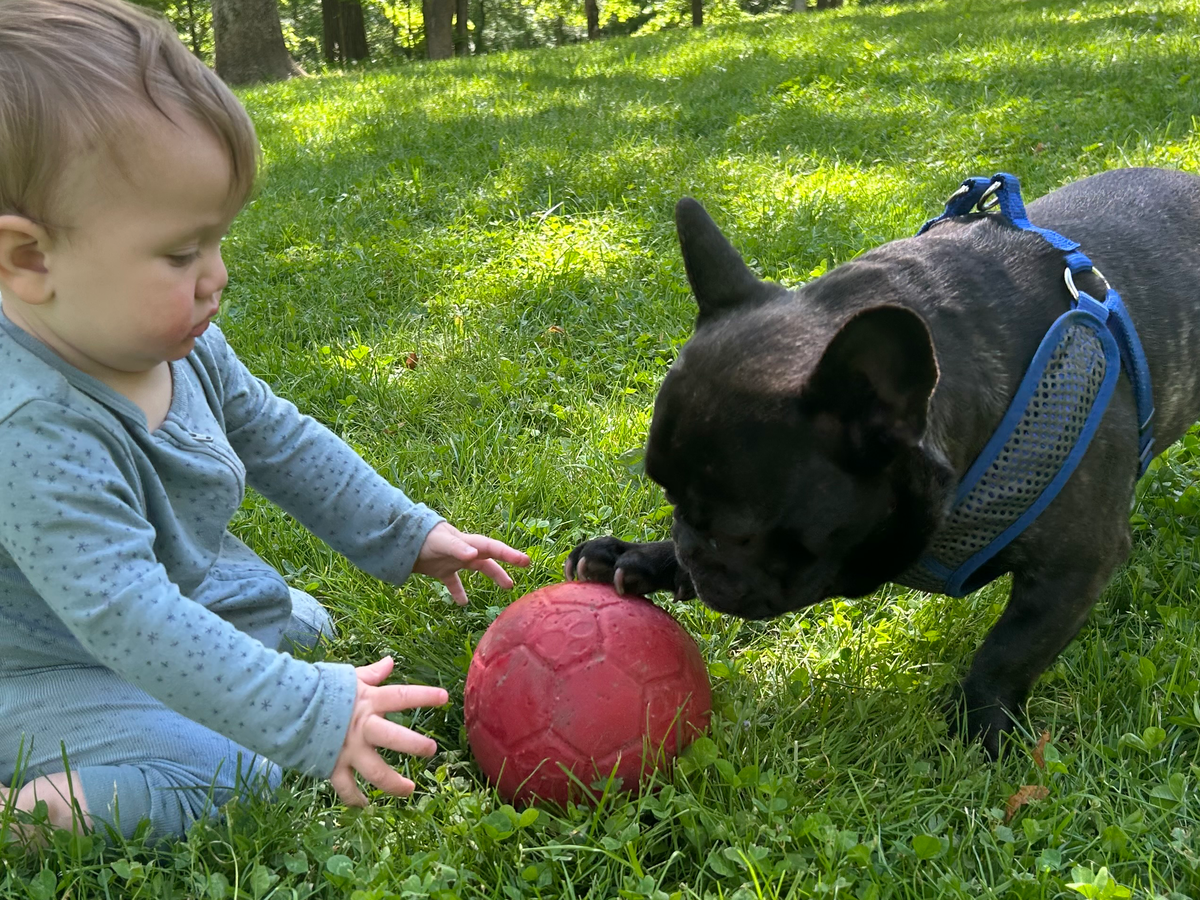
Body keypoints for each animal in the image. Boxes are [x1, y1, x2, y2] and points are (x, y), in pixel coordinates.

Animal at [566, 167, 1200, 756]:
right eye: (669, 499)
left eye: (736, 532)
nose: (693, 557)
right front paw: (642, 557)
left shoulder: (1073, 569)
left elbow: (1007, 653)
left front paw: (983, 735)